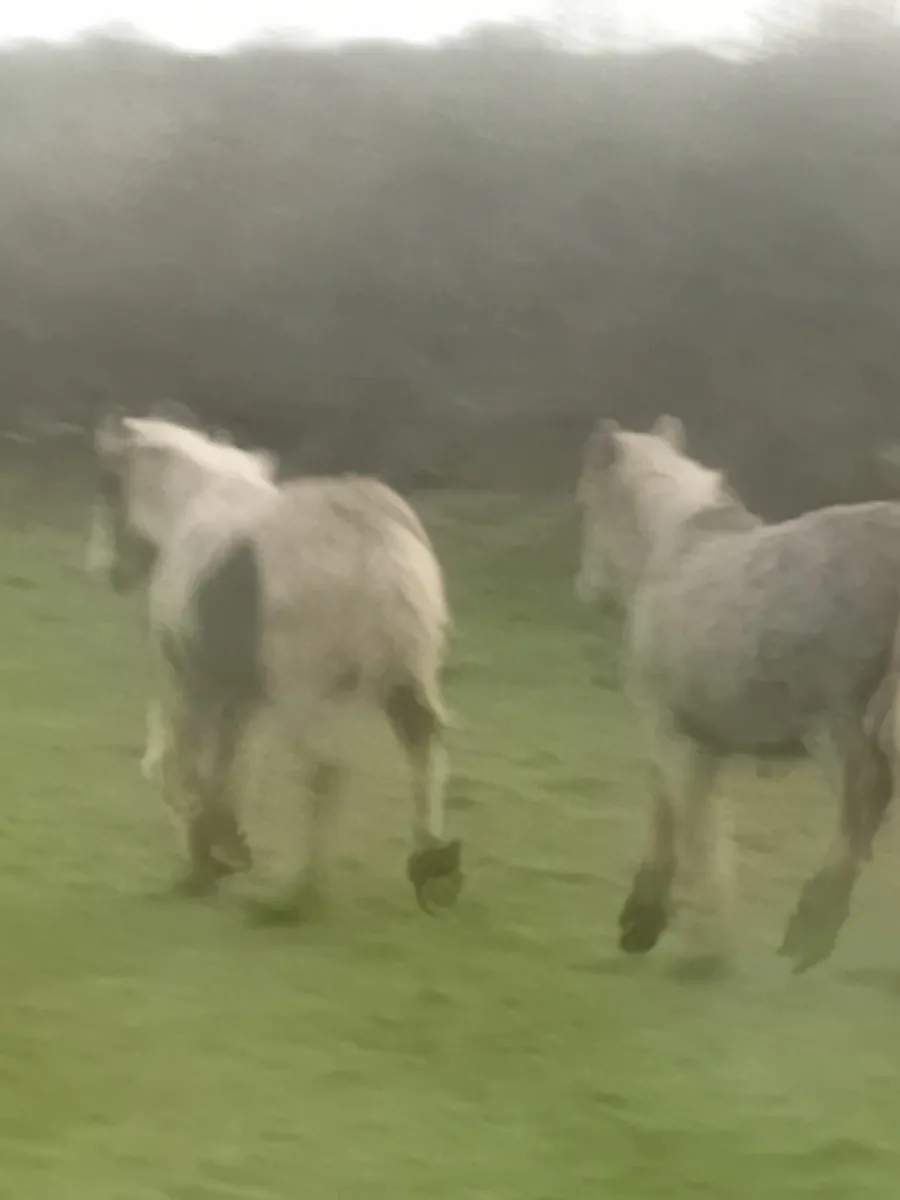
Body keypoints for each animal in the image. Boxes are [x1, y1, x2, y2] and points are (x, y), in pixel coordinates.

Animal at [89, 413, 462, 916]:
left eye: (109, 486)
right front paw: (224, 849)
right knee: (424, 753)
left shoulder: (192, 682)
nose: (113, 572)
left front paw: (203, 862)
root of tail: (369, 533)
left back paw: (300, 895)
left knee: (324, 772)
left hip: (303, 697)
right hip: (402, 685)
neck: (193, 504)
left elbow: (188, 766)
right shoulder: (241, 696)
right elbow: (231, 765)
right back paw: (432, 870)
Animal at [576, 413, 900, 975]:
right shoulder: (706, 735)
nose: (584, 590)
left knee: (863, 797)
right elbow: (688, 812)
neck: (671, 547)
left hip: (838, 722)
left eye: (587, 503)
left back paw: (813, 927)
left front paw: (687, 938)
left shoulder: (667, 724)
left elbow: (688, 819)